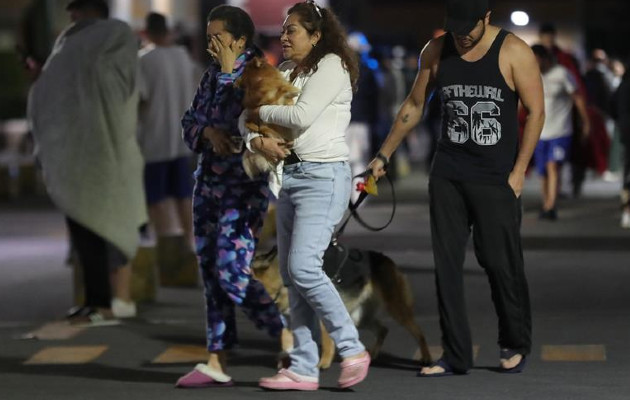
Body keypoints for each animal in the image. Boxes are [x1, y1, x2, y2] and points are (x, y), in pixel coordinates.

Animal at [252, 244, 434, 368]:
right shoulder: (292, 320)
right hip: (359, 317)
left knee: (418, 332)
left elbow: (326, 342)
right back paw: (373, 354)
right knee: (383, 329)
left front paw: (323, 364)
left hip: (396, 309)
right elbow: (287, 340)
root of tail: (387, 259)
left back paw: (426, 357)